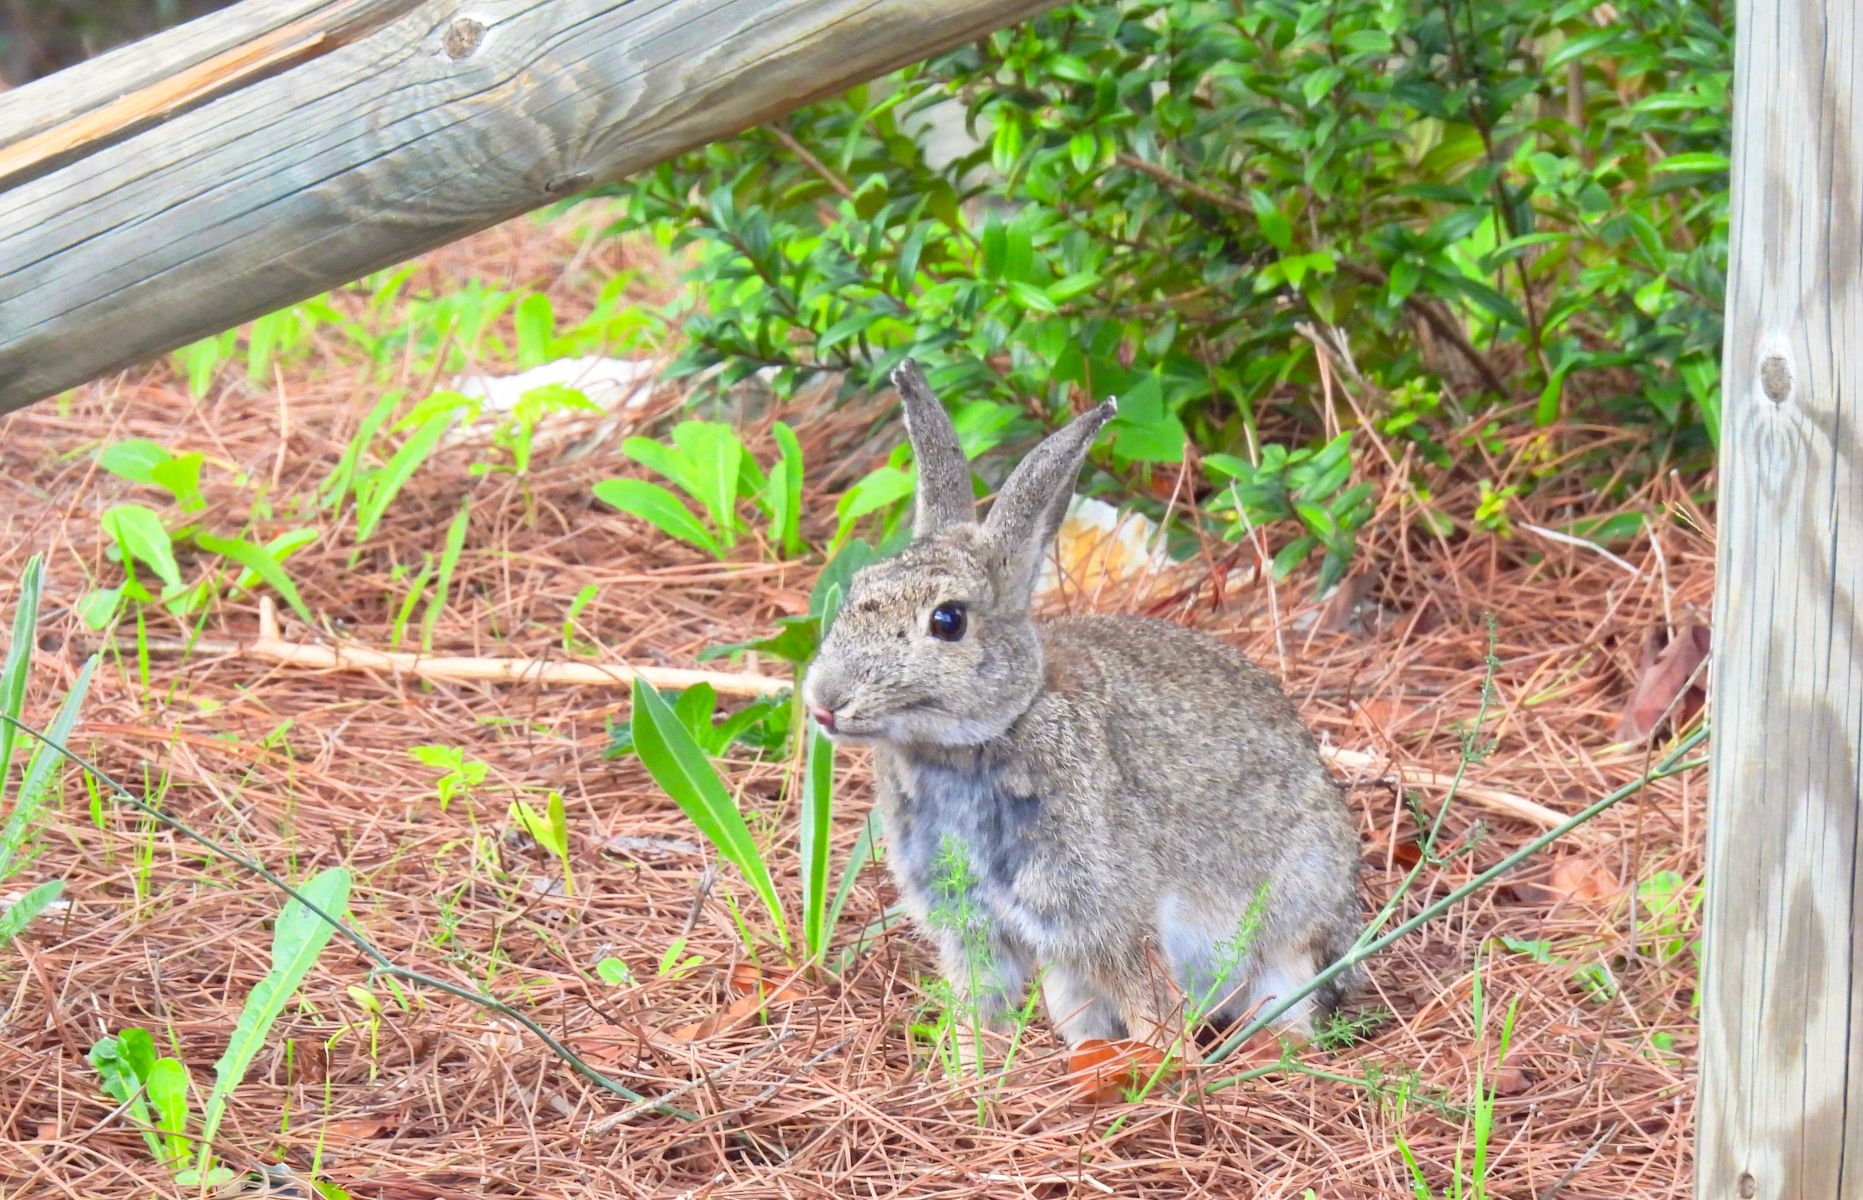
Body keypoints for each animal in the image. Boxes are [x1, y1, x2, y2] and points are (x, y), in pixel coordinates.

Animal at [800, 359, 1362, 1052]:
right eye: (856, 590)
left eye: (948, 621)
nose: (825, 702)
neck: (982, 739)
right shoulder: (975, 926)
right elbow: (980, 1008)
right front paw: (969, 1066)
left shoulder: (1104, 912)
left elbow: (1149, 1001)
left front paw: (1165, 1067)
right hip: (1067, 982)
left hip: (1287, 938)